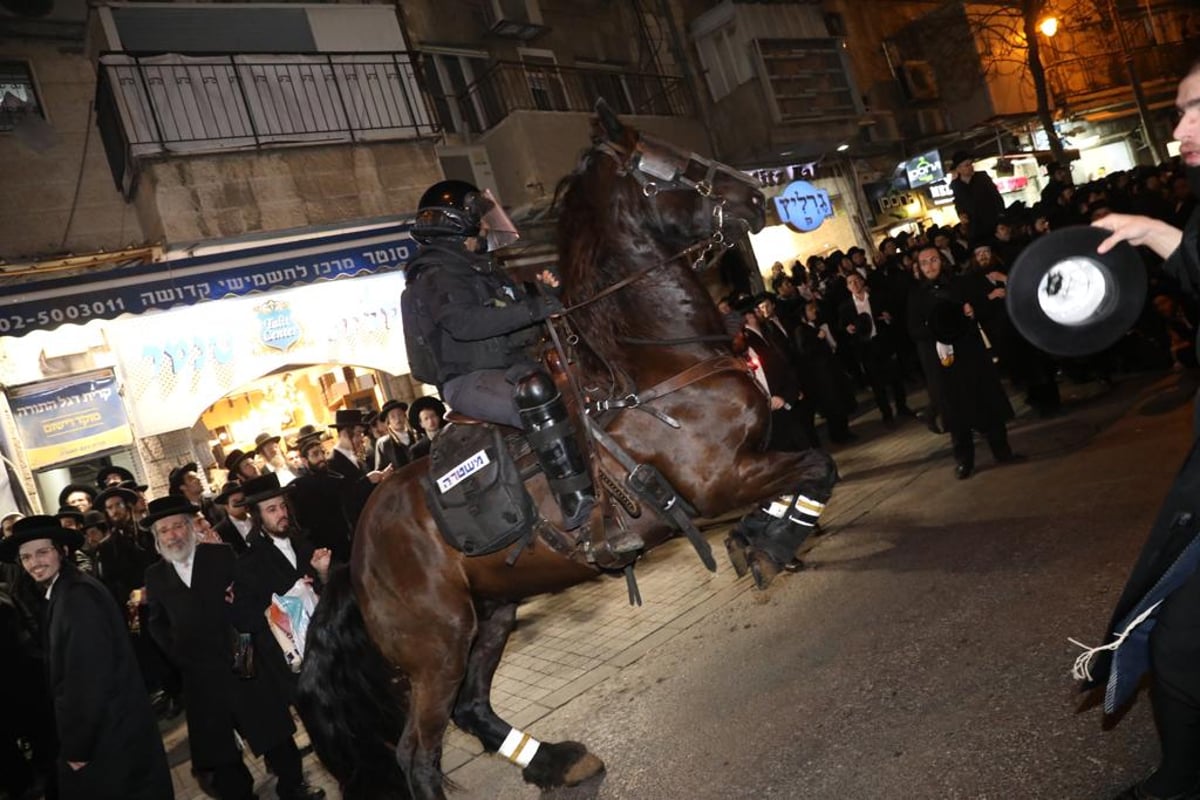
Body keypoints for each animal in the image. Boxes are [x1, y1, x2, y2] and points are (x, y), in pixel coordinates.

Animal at [296, 106, 840, 800]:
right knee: (416, 753)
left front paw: (757, 540)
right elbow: (819, 467)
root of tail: (355, 551)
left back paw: (556, 762)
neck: (656, 361)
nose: (754, 195)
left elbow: (803, 473)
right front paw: (770, 546)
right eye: (676, 163)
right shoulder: (718, 480)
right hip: (437, 646)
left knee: (472, 707)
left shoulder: (750, 460)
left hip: (491, 613)